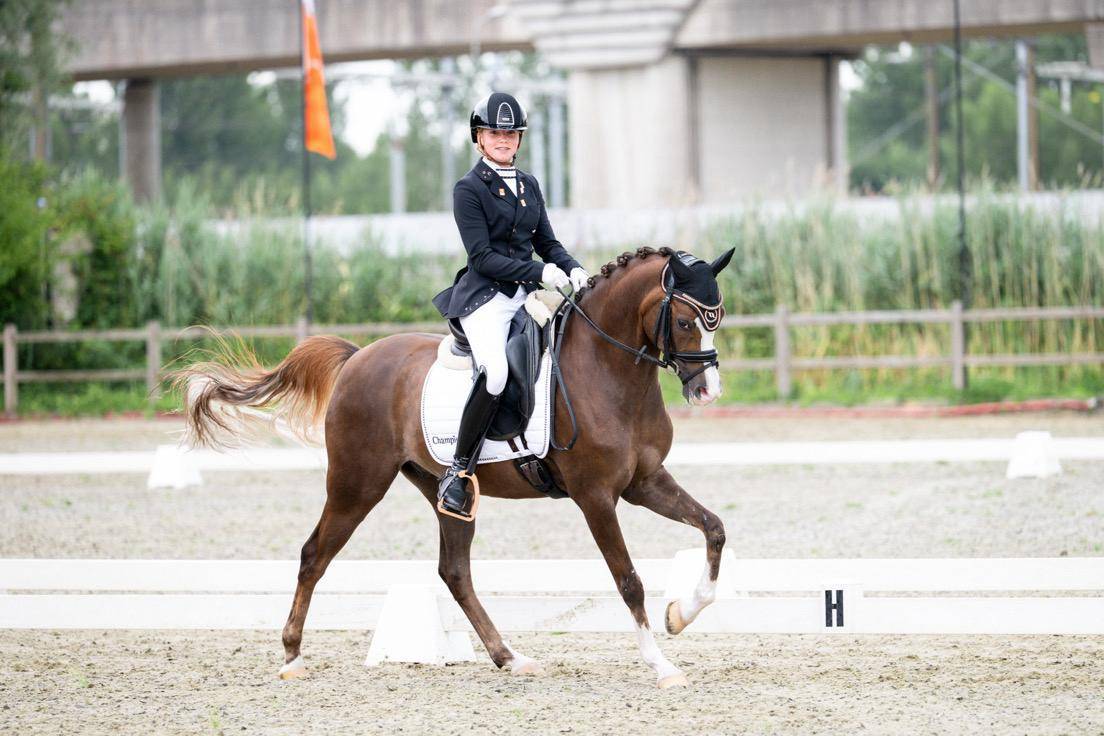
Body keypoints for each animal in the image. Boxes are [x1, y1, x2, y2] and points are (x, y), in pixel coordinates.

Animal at [176, 245, 734, 689]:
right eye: (686, 321)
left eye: (718, 317)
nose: (708, 392)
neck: (607, 370)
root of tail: (357, 358)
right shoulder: (596, 496)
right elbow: (628, 579)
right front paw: (662, 665)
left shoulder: (644, 482)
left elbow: (714, 528)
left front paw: (680, 615)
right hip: (357, 485)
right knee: (315, 554)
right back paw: (292, 656)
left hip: (448, 490)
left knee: (455, 570)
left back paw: (509, 657)